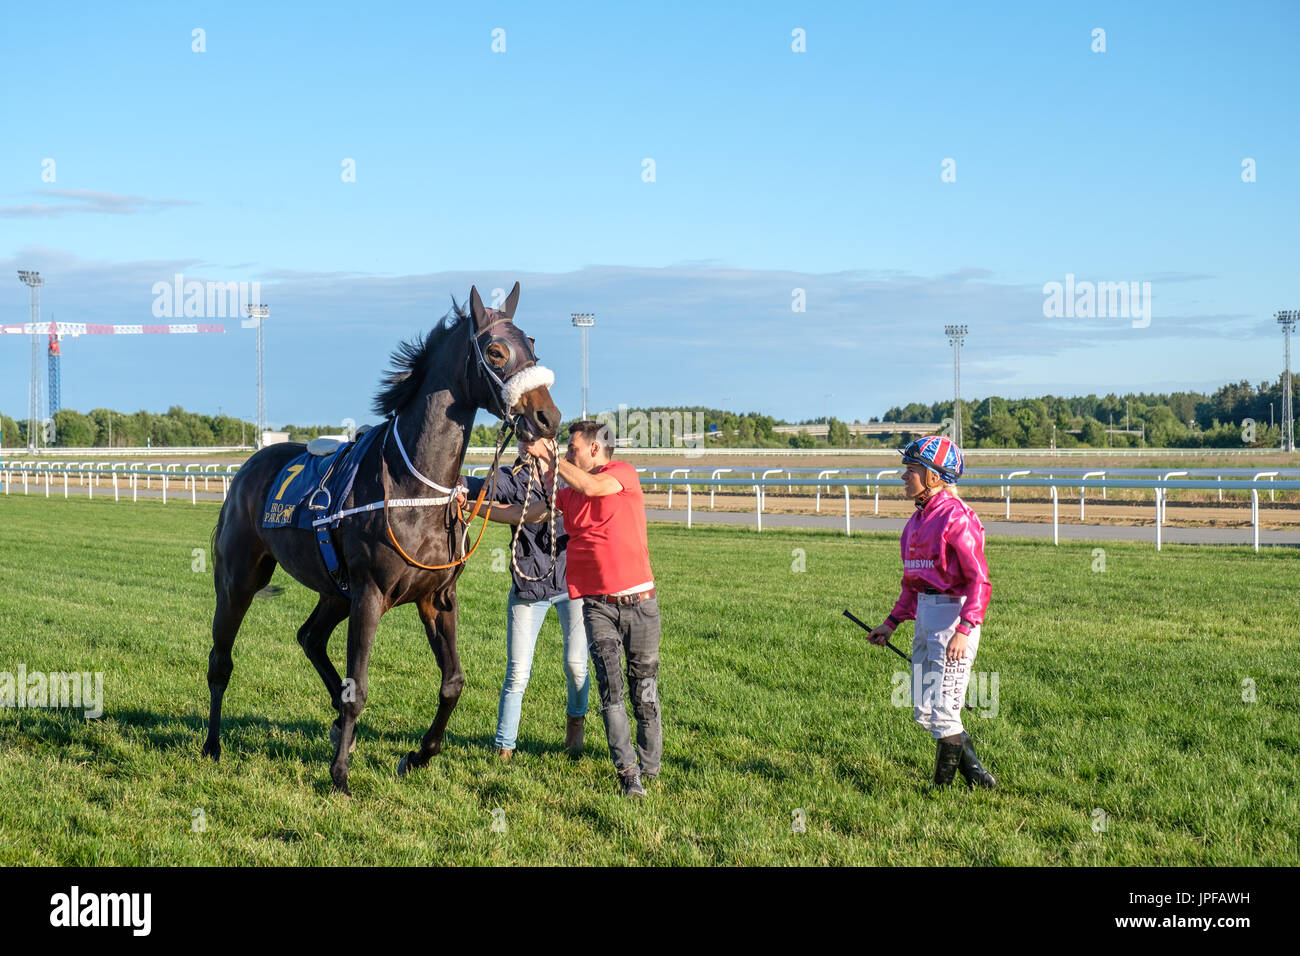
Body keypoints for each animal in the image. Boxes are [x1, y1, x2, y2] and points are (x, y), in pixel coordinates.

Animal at [202, 282, 559, 790]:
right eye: (495, 351)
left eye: (532, 345)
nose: (549, 417)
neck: (415, 488)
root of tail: (249, 466)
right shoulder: (370, 593)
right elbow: (359, 688)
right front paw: (340, 776)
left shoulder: (436, 597)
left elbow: (453, 682)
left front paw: (418, 755)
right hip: (239, 580)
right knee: (221, 659)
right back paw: (213, 745)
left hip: (335, 590)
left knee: (309, 637)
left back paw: (336, 726)